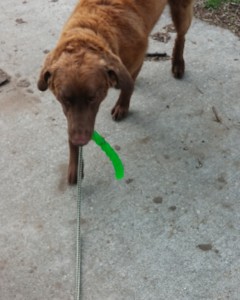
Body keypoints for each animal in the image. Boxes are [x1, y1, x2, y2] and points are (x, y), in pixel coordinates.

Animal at [38, 0, 194, 184]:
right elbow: (72, 127)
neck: (92, 30)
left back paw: (178, 63)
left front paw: (122, 106)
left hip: (181, 11)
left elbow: (128, 87)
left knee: (181, 35)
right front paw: (75, 165)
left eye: (93, 98)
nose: (80, 140)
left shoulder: (136, 61)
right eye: (64, 99)